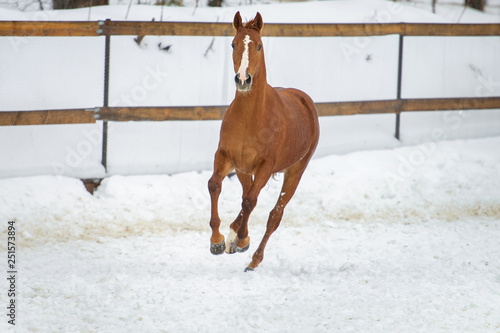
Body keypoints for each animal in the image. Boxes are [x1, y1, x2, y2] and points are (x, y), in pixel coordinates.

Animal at [208, 11, 320, 272]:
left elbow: (250, 202)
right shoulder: (225, 156)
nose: (243, 79)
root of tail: (305, 100)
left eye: (259, 45)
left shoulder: (265, 166)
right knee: (245, 197)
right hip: (243, 170)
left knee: (273, 215)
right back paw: (233, 237)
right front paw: (217, 241)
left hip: (295, 171)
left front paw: (241, 241)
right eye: (233, 44)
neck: (250, 117)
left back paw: (253, 259)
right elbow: (215, 185)